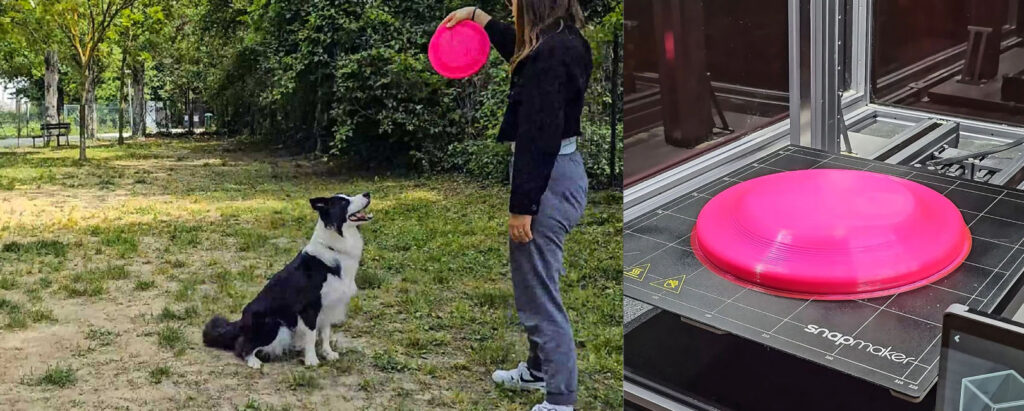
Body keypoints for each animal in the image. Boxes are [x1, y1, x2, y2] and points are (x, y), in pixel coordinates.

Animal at [201, 192, 374, 368]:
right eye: (344, 202)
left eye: (349, 196)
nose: (367, 194)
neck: (334, 246)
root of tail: (241, 322)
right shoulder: (309, 308)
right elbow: (311, 336)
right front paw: (311, 360)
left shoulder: (328, 306)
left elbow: (325, 333)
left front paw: (328, 353)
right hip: (274, 325)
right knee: (242, 346)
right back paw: (254, 361)